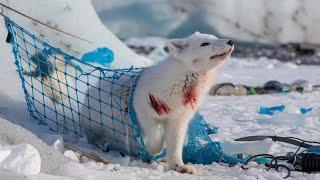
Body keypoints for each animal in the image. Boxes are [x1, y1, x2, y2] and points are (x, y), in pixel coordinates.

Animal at [134, 31, 234, 174]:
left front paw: (179, 166)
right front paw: (152, 150)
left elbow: (176, 142)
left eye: (215, 37)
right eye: (204, 43)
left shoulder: (179, 117)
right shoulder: (142, 107)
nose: (231, 41)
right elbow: (155, 134)